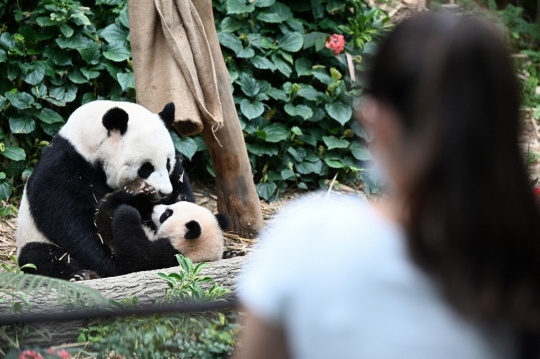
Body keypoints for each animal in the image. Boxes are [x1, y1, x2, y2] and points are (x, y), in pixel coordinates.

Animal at [15, 100, 195, 282]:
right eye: (146, 168)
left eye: (167, 163)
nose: (164, 192)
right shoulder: (65, 166)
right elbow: (68, 219)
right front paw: (112, 264)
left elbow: (182, 192)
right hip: (33, 238)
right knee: (42, 256)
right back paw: (81, 275)